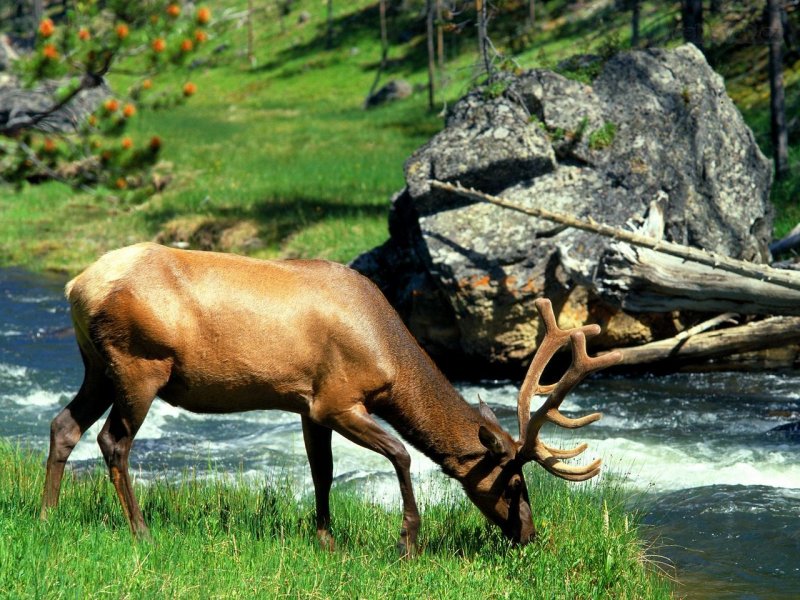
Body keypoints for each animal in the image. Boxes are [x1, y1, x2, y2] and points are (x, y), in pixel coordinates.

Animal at [41, 242, 621, 554]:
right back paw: (141, 531)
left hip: (98, 366)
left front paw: (326, 540)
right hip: (139, 364)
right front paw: (408, 542)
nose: (529, 534)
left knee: (64, 425)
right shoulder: (338, 399)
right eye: (515, 481)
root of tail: (75, 286)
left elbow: (321, 472)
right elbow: (402, 454)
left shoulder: (306, 404)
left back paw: (46, 515)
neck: (388, 357)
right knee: (113, 441)